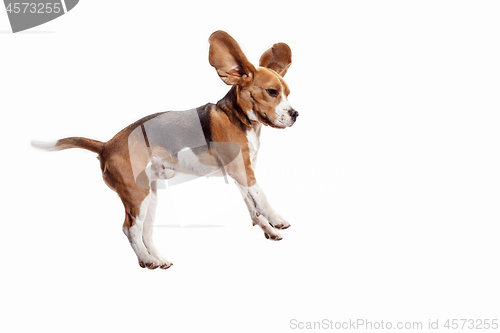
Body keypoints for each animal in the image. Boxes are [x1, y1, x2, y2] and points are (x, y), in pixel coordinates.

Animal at [33, 30, 298, 270]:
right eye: (272, 92)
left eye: (287, 93)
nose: (296, 114)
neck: (239, 118)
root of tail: (107, 144)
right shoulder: (243, 171)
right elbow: (262, 197)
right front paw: (277, 219)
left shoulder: (241, 174)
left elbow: (253, 207)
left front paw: (267, 228)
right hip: (137, 195)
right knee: (129, 229)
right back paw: (146, 259)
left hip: (149, 197)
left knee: (145, 233)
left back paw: (158, 259)